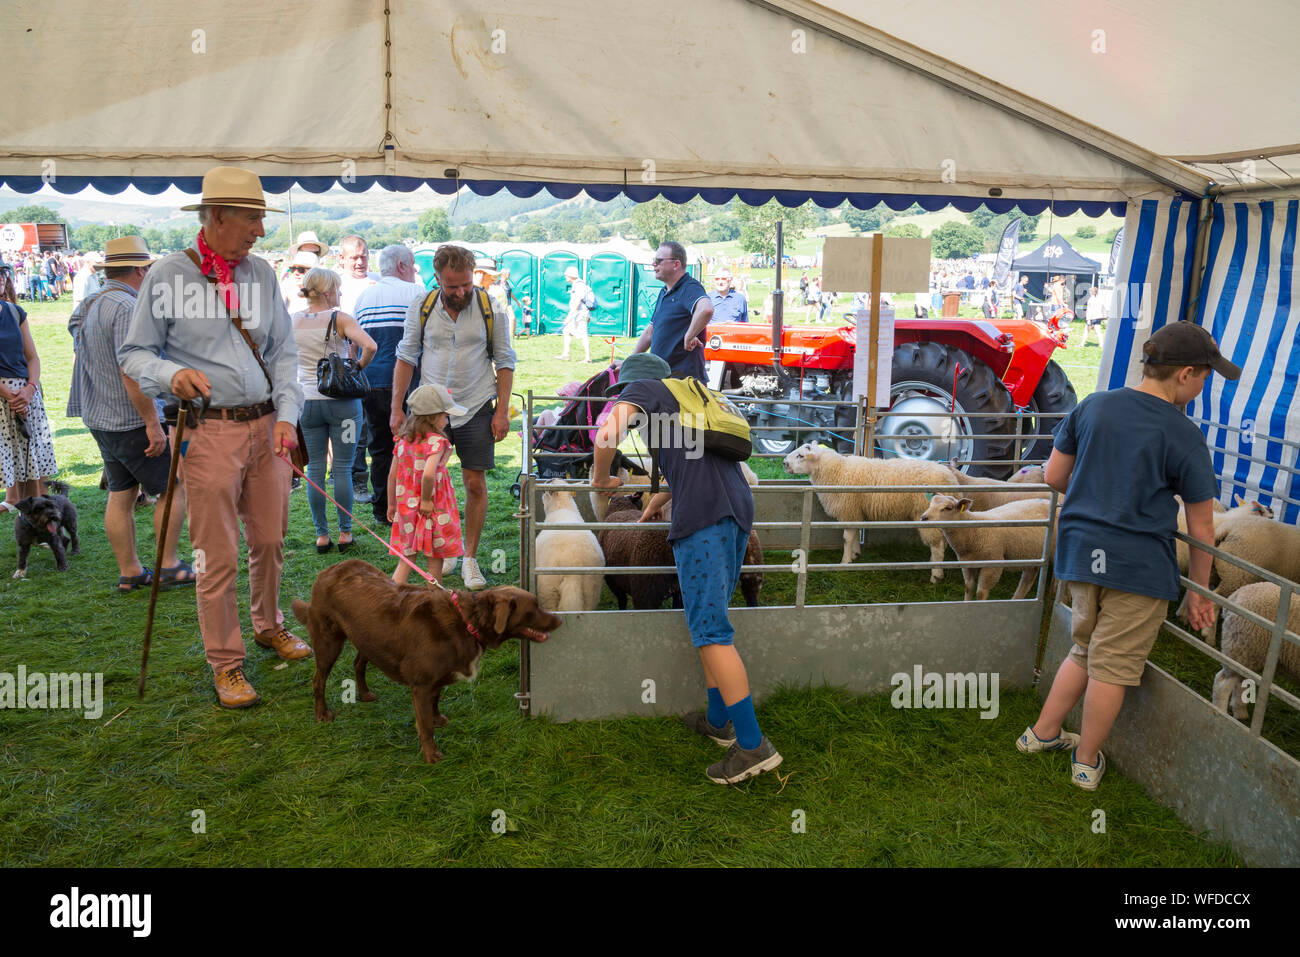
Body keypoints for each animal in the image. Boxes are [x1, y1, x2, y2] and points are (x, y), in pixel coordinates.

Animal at [292, 561, 561, 764]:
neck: (467, 622)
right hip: (329, 642)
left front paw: (437, 718)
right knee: (318, 680)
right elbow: (425, 726)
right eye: (533, 609)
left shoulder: (436, 678)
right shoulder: (421, 685)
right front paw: (431, 755)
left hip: (368, 637)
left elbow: (435, 701)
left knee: (359, 663)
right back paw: (322, 714)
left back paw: (365, 693)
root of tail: (326, 571)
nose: (559, 620)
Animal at [780, 442, 956, 582]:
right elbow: (855, 534)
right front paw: (855, 554)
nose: (784, 463)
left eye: (801, 455)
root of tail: (951, 478)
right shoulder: (856, 511)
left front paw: (845, 562)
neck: (837, 471)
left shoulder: (848, 510)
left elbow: (846, 538)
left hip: (927, 515)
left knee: (937, 545)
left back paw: (936, 575)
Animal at [915, 494, 1055, 598]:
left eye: (948, 508)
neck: (973, 531)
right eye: (930, 504)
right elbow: (968, 588)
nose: (924, 517)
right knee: (1028, 579)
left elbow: (981, 593)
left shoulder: (993, 564)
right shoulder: (967, 563)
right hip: (1033, 554)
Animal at [1206, 579, 1300, 722]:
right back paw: (1221, 715)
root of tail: (1236, 595)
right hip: (1244, 651)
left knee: (1241, 683)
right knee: (1221, 684)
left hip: (1247, 654)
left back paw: (1240, 714)